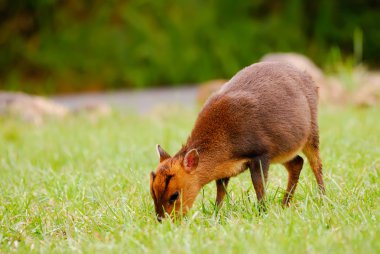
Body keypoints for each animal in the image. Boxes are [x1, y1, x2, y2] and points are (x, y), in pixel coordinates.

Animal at [150, 61, 326, 220]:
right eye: (152, 192)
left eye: (174, 195)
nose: (162, 220)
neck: (226, 142)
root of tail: (311, 80)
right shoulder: (225, 169)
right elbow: (221, 192)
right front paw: (216, 215)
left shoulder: (260, 153)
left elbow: (259, 186)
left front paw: (262, 212)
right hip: (283, 150)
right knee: (297, 162)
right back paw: (285, 204)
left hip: (312, 131)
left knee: (316, 163)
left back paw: (323, 198)